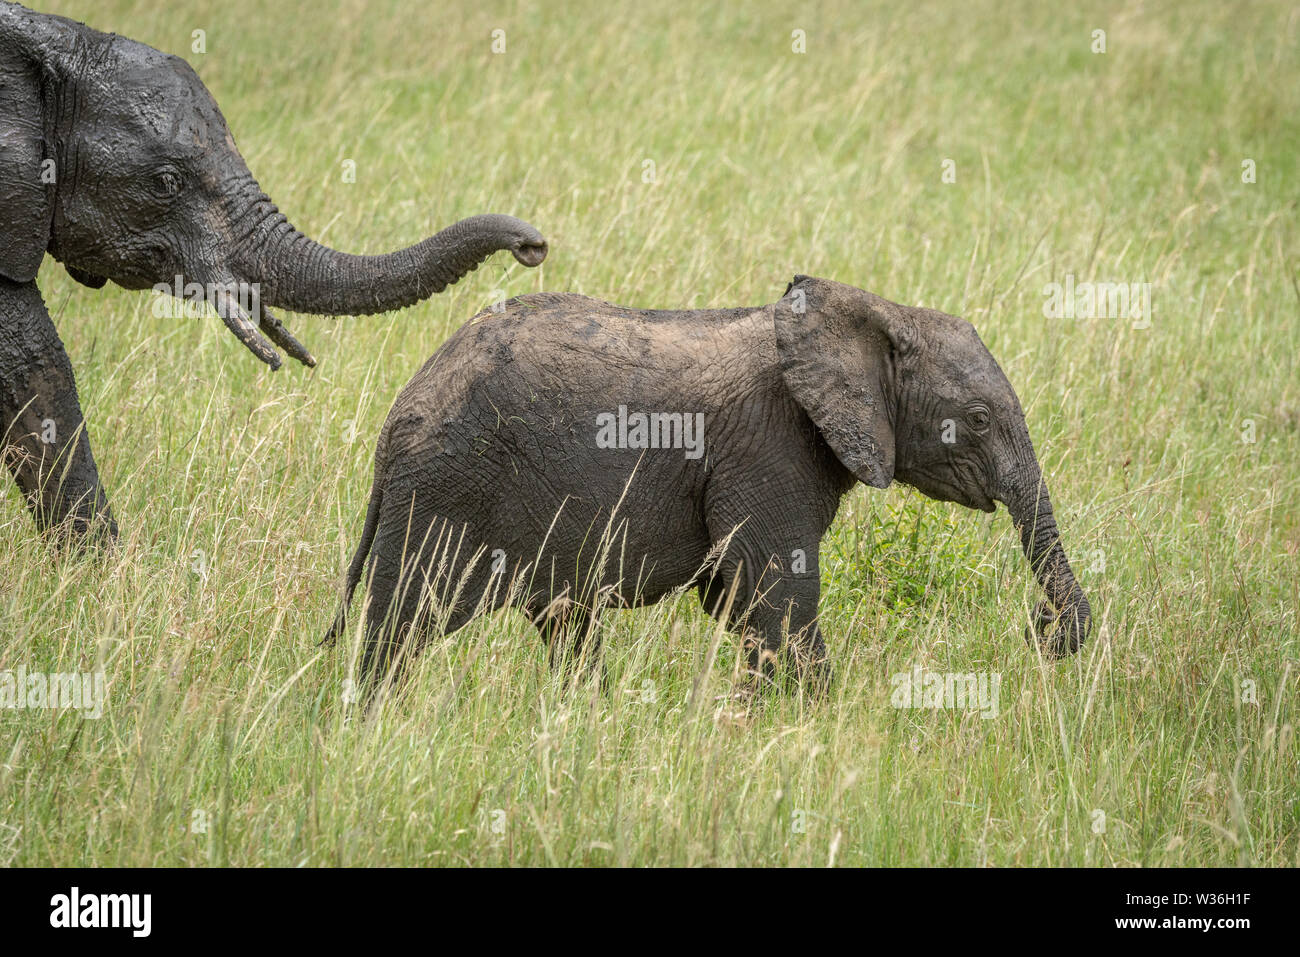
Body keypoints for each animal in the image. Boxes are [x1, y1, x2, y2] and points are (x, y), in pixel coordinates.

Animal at [324, 276, 1092, 693]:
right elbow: (779, 596)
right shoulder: (767, 449)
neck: (873, 312)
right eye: (979, 419)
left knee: (566, 627)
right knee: (398, 631)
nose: (1043, 628)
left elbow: (739, 600)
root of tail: (394, 421)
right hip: (443, 490)